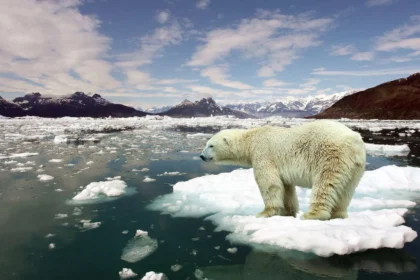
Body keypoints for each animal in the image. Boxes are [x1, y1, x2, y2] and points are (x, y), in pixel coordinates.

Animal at [199, 120, 366, 221]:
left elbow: (269, 183)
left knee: (325, 184)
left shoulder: (263, 154)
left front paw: (264, 213)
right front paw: (288, 212)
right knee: (346, 190)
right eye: (206, 144)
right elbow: (286, 187)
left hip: (330, 155)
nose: (201, 156)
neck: (251, 140)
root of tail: (354, 140)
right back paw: (339, 214)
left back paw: (312, 214)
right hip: (355, 166)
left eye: (211, 145)